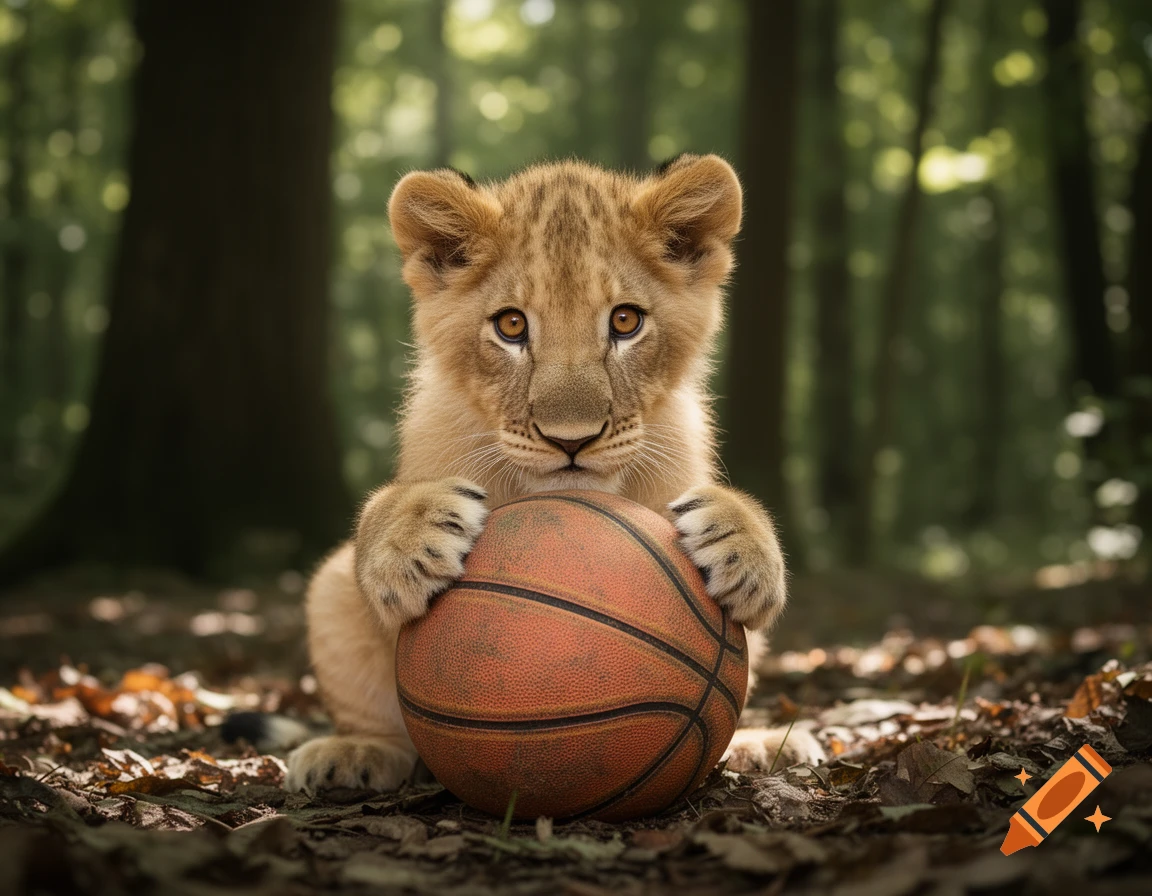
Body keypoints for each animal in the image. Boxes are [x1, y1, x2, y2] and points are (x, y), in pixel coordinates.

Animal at [282, 154, 823, 794]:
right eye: (511, 326)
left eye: (625, 321)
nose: (571, 440)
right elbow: (381, 509)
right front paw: (411, 539)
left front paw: (743, 547)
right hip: (328, 590)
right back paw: (352, 754)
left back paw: (763, 745)